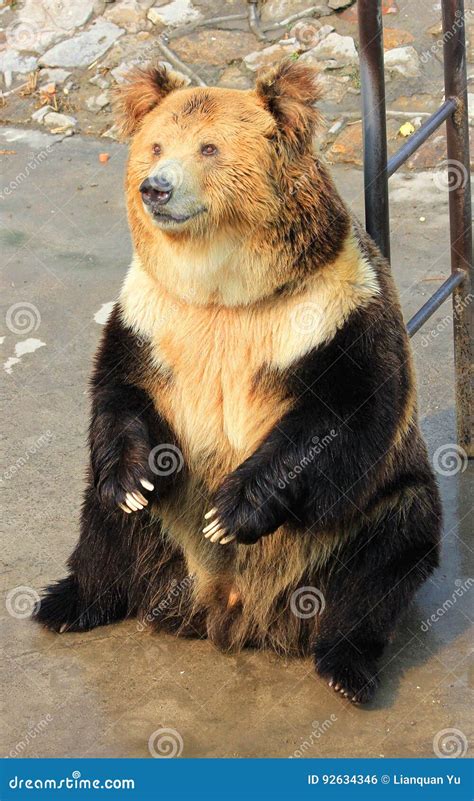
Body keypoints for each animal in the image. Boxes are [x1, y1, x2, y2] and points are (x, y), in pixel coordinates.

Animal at [33, 61, 440, 700]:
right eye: (156, 145)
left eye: (209, 148)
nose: (156, 188)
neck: (224, 293)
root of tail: (230, 609)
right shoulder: (155, 317)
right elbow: (121, 393)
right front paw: (134, 481)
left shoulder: (329, 312)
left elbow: (342, 415)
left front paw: (230, 512)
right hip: (160, 527)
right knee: (103, 522)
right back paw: (68, 601)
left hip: (359, 518)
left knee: (386, 556)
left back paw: (346, 667)